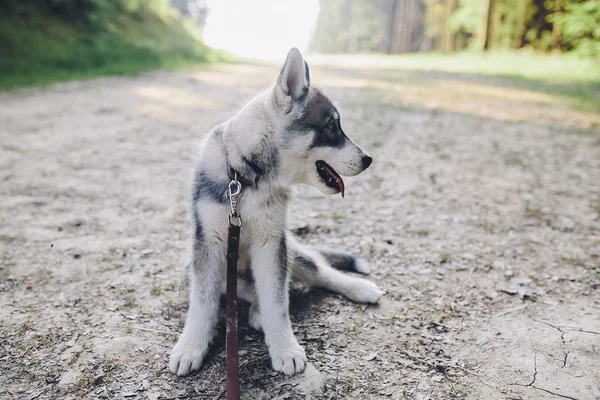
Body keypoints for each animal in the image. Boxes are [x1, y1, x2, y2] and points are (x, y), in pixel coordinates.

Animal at [169, 48, 384, 376]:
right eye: (331, 127)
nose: (369, 159)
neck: (245, 177)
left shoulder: (272, 242)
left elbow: (278, 301)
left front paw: (285, 348)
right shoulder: (208, 244)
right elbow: (203, 301)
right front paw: (191, 346)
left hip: (291, 251)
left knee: (319, 271)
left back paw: (358, 287)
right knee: (241, 288)